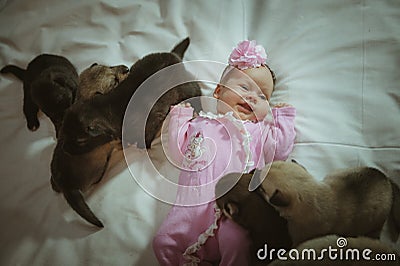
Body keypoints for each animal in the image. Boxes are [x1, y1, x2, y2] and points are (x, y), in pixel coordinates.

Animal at [51, 37, 202, 228]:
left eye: (79, 140)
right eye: (63, 133)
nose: (65, 147)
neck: (106, 109)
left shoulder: (149, 118)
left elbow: (144, 135)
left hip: (185, 87)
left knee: (196, 89)